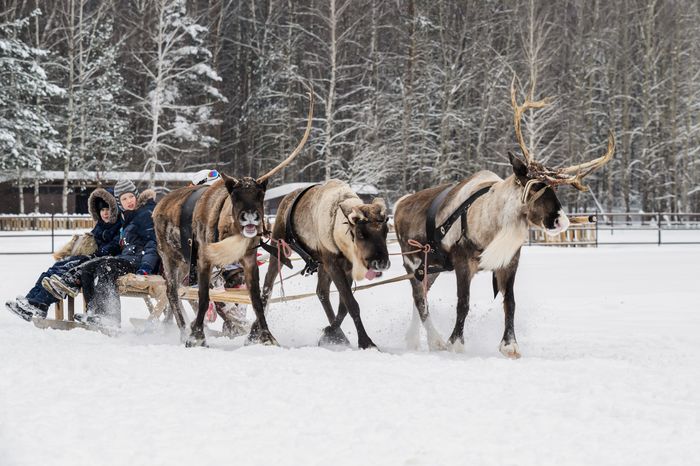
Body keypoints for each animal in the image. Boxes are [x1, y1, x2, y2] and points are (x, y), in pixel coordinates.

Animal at [152, 90, 314, 347]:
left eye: (260, 195)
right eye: (235, 196)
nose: (250, 218)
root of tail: (159, 205)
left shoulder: (247, 261)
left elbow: (257, 299)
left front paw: (266, 337)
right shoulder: (204, 259)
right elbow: (204, 296)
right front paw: (196, 336)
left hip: (182, 263)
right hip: (169, 257)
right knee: (172, 292)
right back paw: (184, 330)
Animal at [259, 180, 391, 349]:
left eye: (385, 231)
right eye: (360, 233)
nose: (381, 263)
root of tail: (286, 199)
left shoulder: (346, 268)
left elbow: (343, 307)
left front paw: (329, 333)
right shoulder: (333, 264)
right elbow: (352, 304)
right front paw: (365, 341)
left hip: (321, 263)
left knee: (321, 292)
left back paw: (339, 335)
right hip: (279, 248)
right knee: (268, 284)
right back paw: (256, 332)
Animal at [392, 77, 615, 358]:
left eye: (554, 188)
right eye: (534, 186)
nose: (560, 221)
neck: (493, 225)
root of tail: (399, 204)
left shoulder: (510, 261)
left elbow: (510, 302)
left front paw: (510, 344)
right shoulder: (462, 261)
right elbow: (463, 303)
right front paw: (456, 343)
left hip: (430, 266)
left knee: (418, 297)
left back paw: (414, 339)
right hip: (413, 261)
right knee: (420, 299)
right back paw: (436, 340)